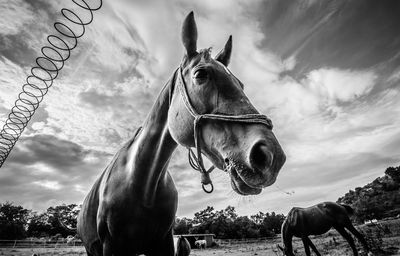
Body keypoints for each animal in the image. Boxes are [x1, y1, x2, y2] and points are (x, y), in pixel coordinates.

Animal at [76, 12, 286, 256]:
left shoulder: (164, 243)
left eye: (241, 84)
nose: (271, 156)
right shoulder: (112, 247)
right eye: (201, 74)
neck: (142, 184)